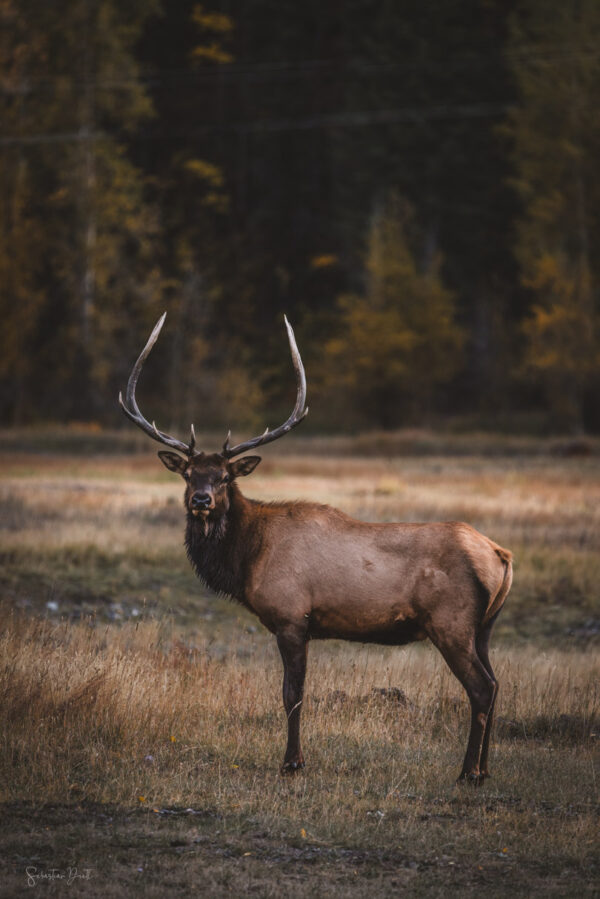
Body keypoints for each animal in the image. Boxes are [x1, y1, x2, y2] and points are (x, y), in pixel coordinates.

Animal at [118, 312, 510, 784]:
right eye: (189, 474)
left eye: (226, 476)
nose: (201, 500)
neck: (248, 559)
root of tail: (500, 556)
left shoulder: (291, 617)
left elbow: (293, 694)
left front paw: (292, 761)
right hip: (483, 627)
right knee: (497, 684)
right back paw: (484, 769)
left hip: (451, 622)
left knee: (481, 687)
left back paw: (468, 771)